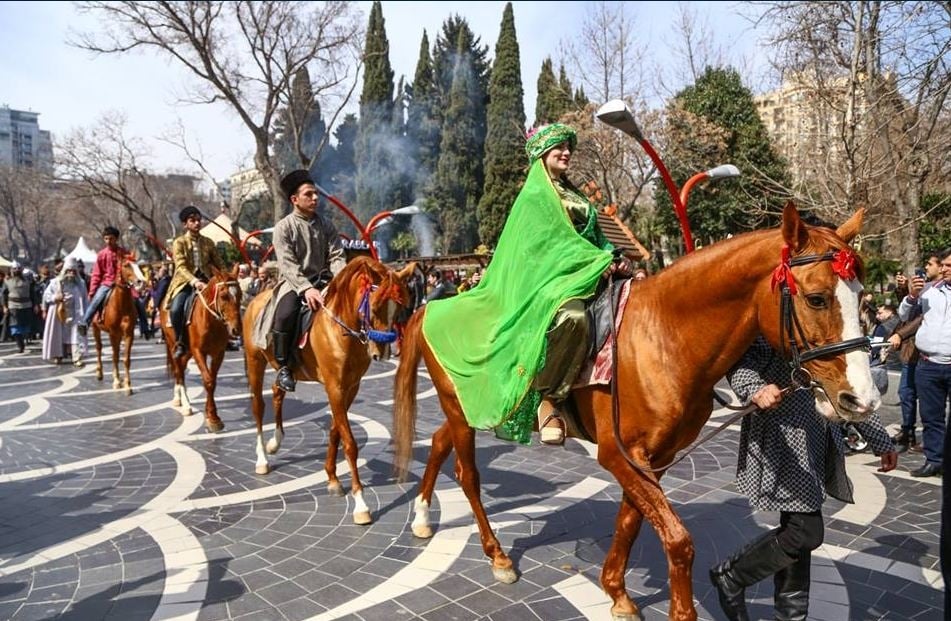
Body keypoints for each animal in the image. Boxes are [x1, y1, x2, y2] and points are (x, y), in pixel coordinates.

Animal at [91, 256, 145, 392]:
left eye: (138, 265)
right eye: (126, 265)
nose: (141, 282)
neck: (121, 305)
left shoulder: (129, 334)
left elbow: (126, 359)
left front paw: (127, 385)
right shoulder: (113, 333)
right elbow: (115, 356)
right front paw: (116, 381)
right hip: (95, 328)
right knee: (99, 348)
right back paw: (99, 372)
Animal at [161, 266, 244, 432]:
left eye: (240, 294)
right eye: (224, 296)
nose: (236, 329)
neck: (211, 321)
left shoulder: (218, 353)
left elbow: (212, 380)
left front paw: (211, 414)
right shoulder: (199, 352)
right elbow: (208, 380)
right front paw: (213, 418)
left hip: (188, 351)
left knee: (181, 368)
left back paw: (179, 398)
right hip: (174, 344)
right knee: (178, 370)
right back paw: (185, 404)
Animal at [244, 256, 414, 524]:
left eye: (399, 309)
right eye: (375, 306)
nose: (382, 352)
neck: (342, 330)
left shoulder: (350, 388)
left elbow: (336, 431)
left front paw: (333, 479)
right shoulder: (334, 388)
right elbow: (350, 443)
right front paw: (361, 504)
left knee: (278, 390)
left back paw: (275, 441)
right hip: (254, 362)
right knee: (258, 406)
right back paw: (262, 457)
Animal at [392, 205, 876, 620]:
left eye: (861, 297)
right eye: (816, 299)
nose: (862, 399)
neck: (664, 336)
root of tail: (431, 305)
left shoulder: (651, 458)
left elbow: (631, 521)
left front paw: (617, 593)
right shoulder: (618, 454)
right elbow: (678, 540)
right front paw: (679, 611)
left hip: (464, 409)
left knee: (438, 442)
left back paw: (421, 519)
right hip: (462, 410)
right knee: (469, 476)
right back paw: (497, 556)